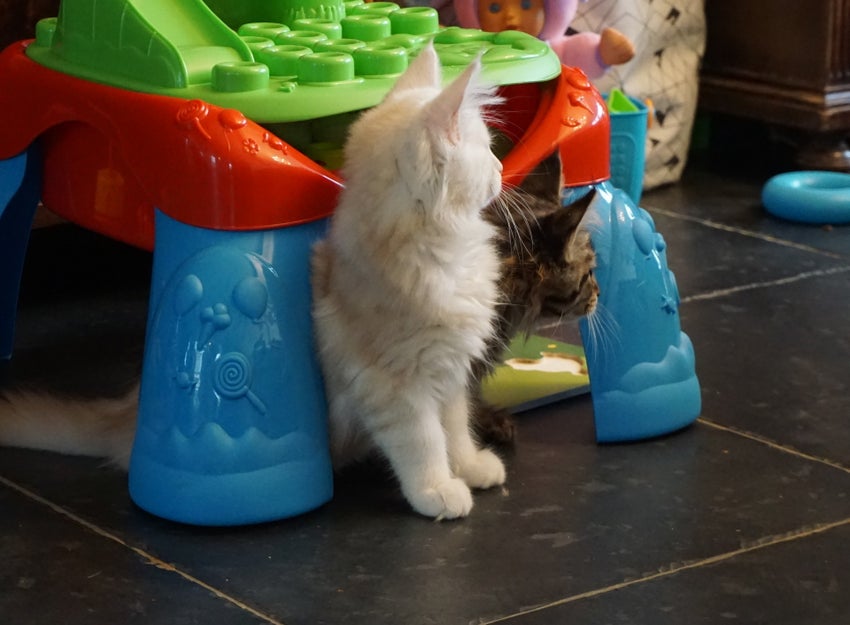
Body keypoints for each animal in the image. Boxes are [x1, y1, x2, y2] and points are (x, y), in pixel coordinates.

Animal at [310, 43, 506, 520]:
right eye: (487, 150)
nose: (501, 166)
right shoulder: (394, 383)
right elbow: (424, 441)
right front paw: (437, 489)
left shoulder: (450, 370)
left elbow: (456, 427)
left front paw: (469, 466)